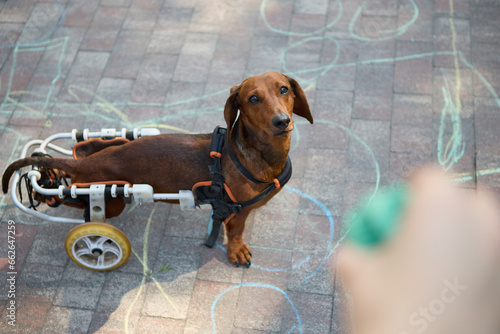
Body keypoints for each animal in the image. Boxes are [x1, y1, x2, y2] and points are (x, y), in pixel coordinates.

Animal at [2, 72, 312, 268]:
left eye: (283, 89)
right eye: (253, 99)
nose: (281, 121)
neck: (251, 154)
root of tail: (84, 162)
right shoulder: (236, 211)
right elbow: (235, 232)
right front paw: (237, 252)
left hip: (108, 154)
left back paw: (50, 174)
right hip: (109, 198)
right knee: (75, 201)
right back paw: (45, 190)